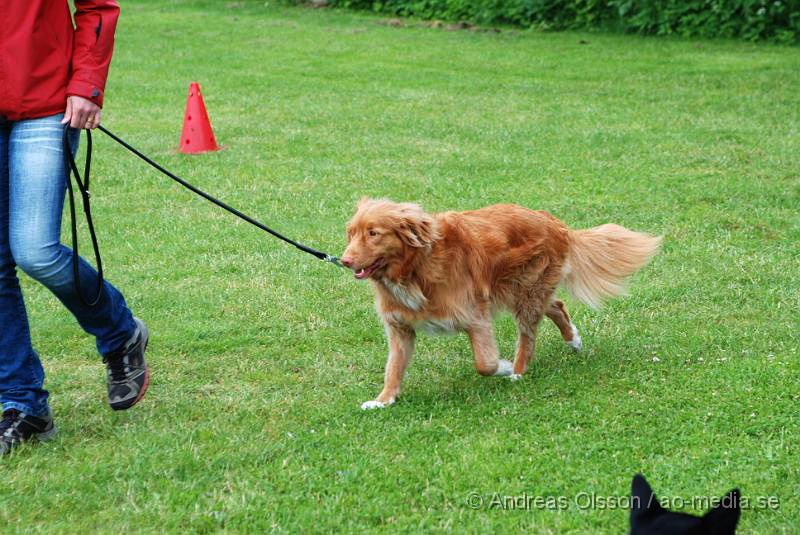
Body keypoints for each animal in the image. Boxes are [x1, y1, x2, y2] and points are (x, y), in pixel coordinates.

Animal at [340, 199, 660, 408]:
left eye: (373, 233)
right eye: (351, 233)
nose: (343, 260)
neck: (415, 268)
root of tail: (557, 224)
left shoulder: (474, 317)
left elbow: (485, 363)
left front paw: (504, 368)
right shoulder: (400, 328)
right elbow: (394, 367)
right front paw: (384, 400)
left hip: (525, 293)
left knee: (529, 337)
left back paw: (518, 371)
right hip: (521, 291)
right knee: (556, 305)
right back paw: (573, 340)